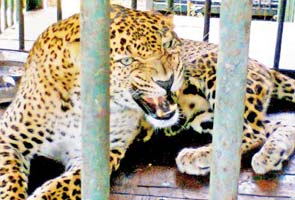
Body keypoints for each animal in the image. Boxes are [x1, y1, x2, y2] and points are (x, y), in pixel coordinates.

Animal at [0, 5, 185, 199]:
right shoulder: (8, 136)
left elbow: (64, 184)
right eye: (127, 60)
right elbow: (10, 178)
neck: (78, 109)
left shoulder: (102, 153)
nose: (167, 82)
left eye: (168, 45)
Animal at [139, 38, 295, 176]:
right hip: (202, 114)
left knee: (251, 134)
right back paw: (272, 156)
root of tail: (267, 68)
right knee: (281, 125)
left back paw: (196, 155)